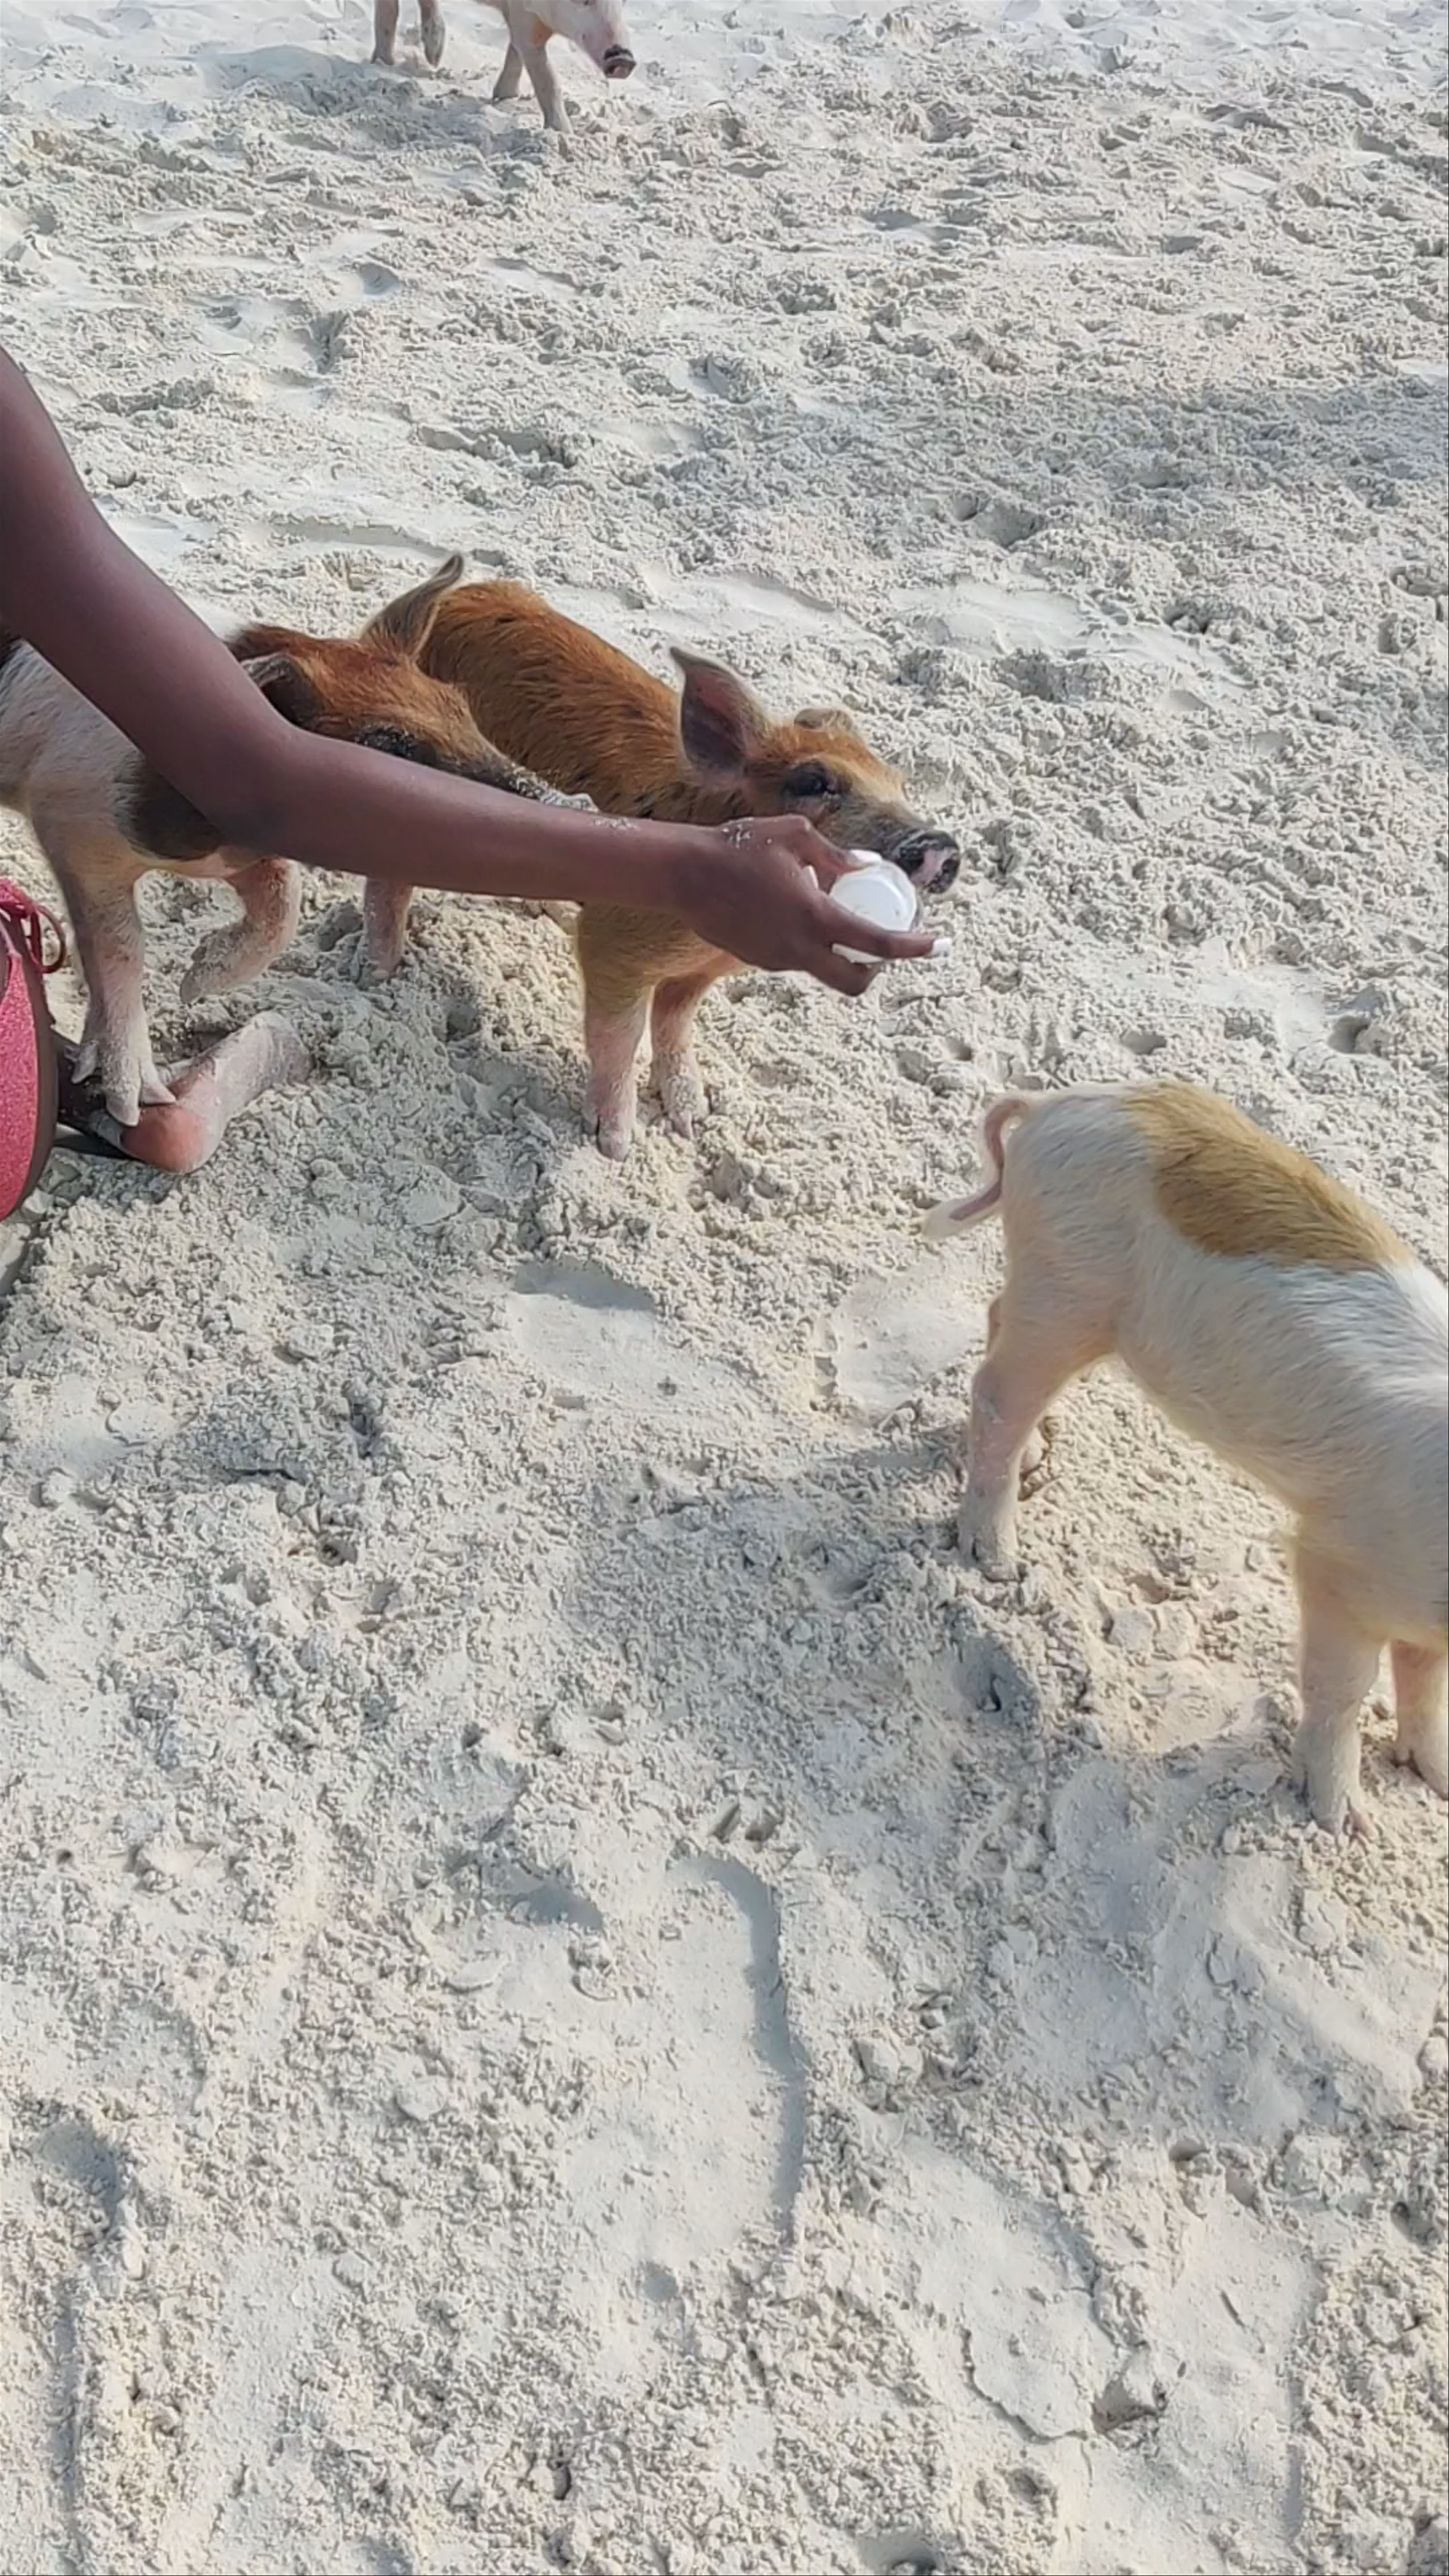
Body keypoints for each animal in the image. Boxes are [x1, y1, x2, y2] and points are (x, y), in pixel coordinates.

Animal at [0, 557, 580, 1129]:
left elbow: (285, 898)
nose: (563, 800)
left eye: (460, 705)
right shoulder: (71, 818)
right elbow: (120, 944)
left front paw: (196, 981)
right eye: (390, 744)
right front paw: (137, 1104)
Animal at [366, 576, 961, 1158]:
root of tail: (459, 596)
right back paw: (378, 975)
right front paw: (615, 1146)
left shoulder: (698, 973)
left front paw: (694, 1119)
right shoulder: (611, 944)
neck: (709, 943)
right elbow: (620, 1034)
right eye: (814, 782)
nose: (940, 844)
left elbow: (676, 1024)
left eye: (902, 785)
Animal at [371, 0, 635, 134]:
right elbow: (547, 79)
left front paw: (504, 97)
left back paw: (434, 57)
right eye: (584, 0)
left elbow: (516, 51)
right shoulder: (524, 20)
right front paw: (563, 135)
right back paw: (382, 64)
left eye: (622, 2)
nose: (624, 58)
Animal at [924, 1082, 1449, 1836]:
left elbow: (1425, 1676)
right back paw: (995, 1561)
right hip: (1067, 1283)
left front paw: (1438, 1780)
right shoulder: (1342, 1561)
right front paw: (1344, 1825)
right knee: (996, 1393)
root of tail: (1059, 1102)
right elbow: (1345, 1687)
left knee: (997, 1324)